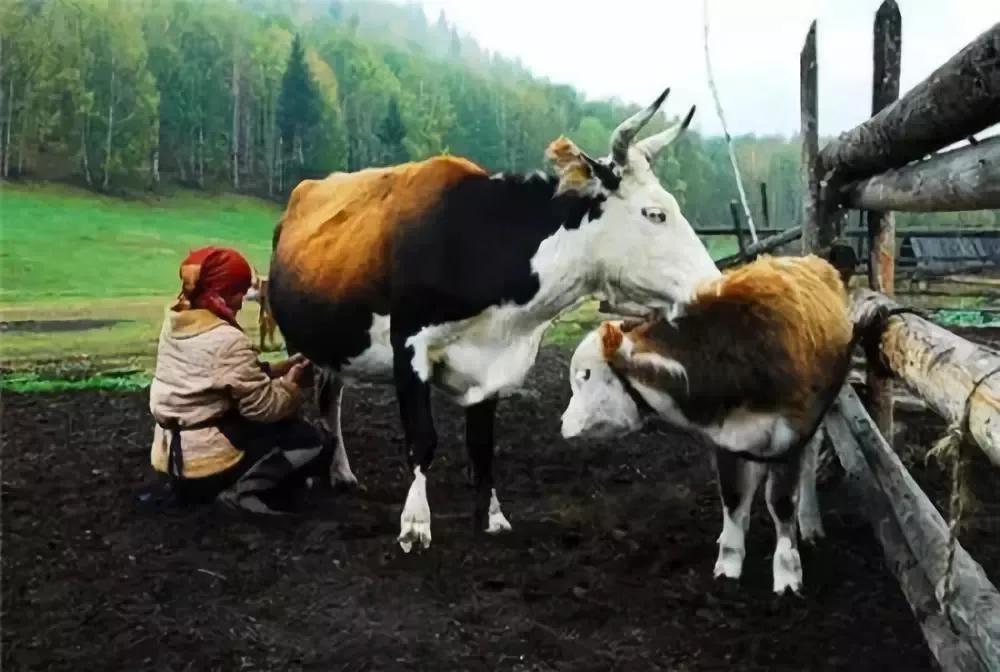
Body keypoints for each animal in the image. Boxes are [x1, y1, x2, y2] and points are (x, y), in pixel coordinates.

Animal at [560, 256, 856, 592]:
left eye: (585, 374)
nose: (563, 422)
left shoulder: (789, 439)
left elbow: (780, 503)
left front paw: (787, 574)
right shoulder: (727, 440)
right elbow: (734, 498)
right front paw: (728, 564)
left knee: (808, 462)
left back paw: (809, 523)